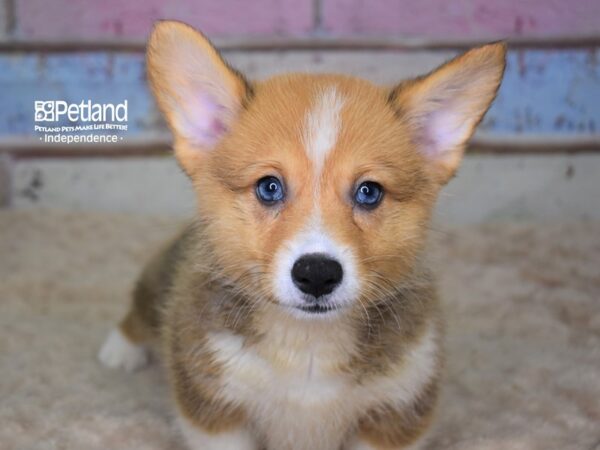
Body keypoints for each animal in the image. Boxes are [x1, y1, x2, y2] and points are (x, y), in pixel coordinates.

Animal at [98, 20, 506, 450]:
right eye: (269, 187)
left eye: (369, 192)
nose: (317, 274)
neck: (307, 347)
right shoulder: (216, 411)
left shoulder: (396, 413)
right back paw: (120, 350)